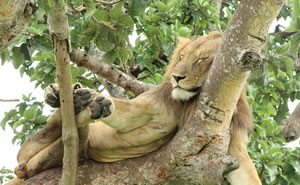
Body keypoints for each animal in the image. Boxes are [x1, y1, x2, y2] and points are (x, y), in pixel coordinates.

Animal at [8, 31, 262, 185]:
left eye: (200, 60)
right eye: (181, 56)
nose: (177, 77)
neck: (188, 103)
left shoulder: (233, 144)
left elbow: (248, 174)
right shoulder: (146, 106)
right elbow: (125, 112)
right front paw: (83, 95)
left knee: (35, 163)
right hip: (32, 154)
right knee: (27, 154)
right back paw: (67, 99)